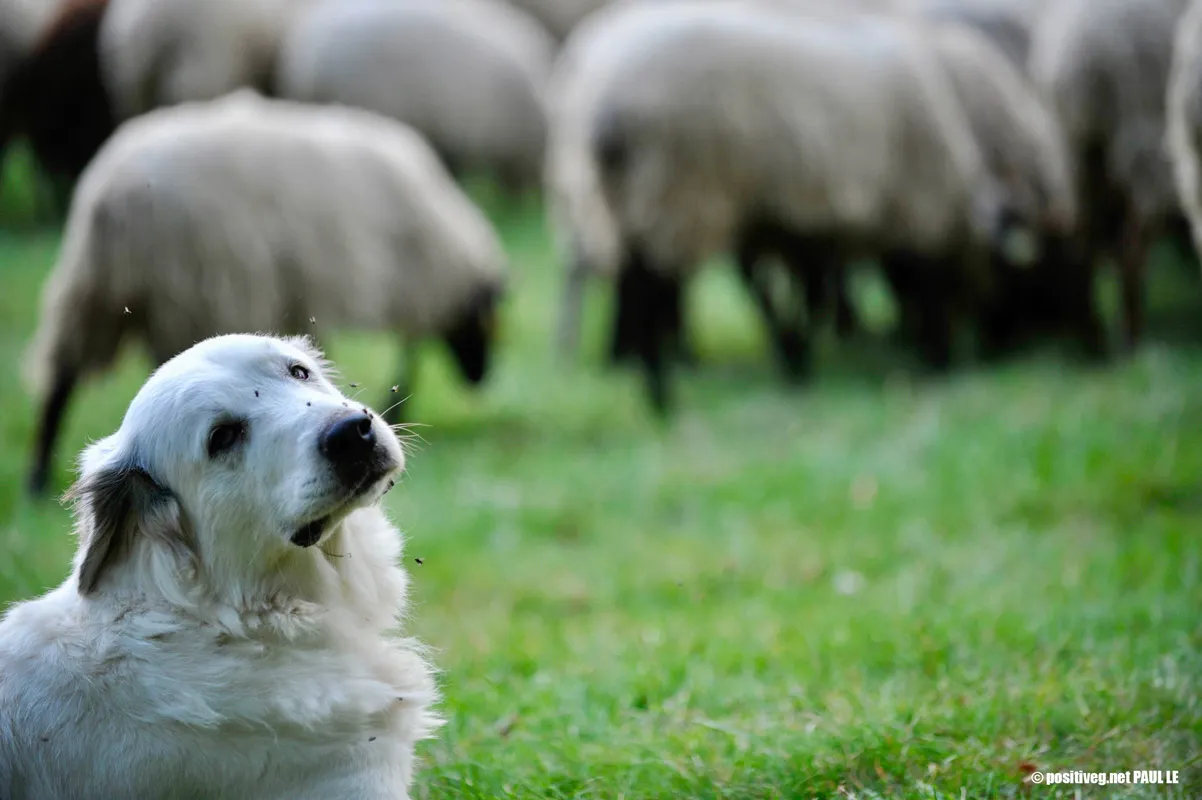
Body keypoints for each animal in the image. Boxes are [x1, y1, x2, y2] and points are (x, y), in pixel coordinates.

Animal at [24, 90, 507, 496]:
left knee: (62, 375)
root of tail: (111, 194)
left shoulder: (306, 291)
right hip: (191, 287)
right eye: (484, 321)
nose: (480, 379)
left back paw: (38, 475)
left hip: (99, 290)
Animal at [549, 0, 1015, 412]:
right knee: (649, 290)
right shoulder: (890, 212)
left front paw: (795, 358)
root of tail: (603, 104)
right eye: (992, 269)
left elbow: (791, 295)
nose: (997, 349)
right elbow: (843, 293)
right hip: (676, 191)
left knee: (633, 283)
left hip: (622, 201)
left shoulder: (797, 223)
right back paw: (661, 396)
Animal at [1029, 0, 1191, 350]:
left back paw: (1095, 338)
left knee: (1082, 242)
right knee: (1130, 249)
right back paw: (1132, 340)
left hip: (1075, 156)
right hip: (1140, 143)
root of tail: (1076, 61)